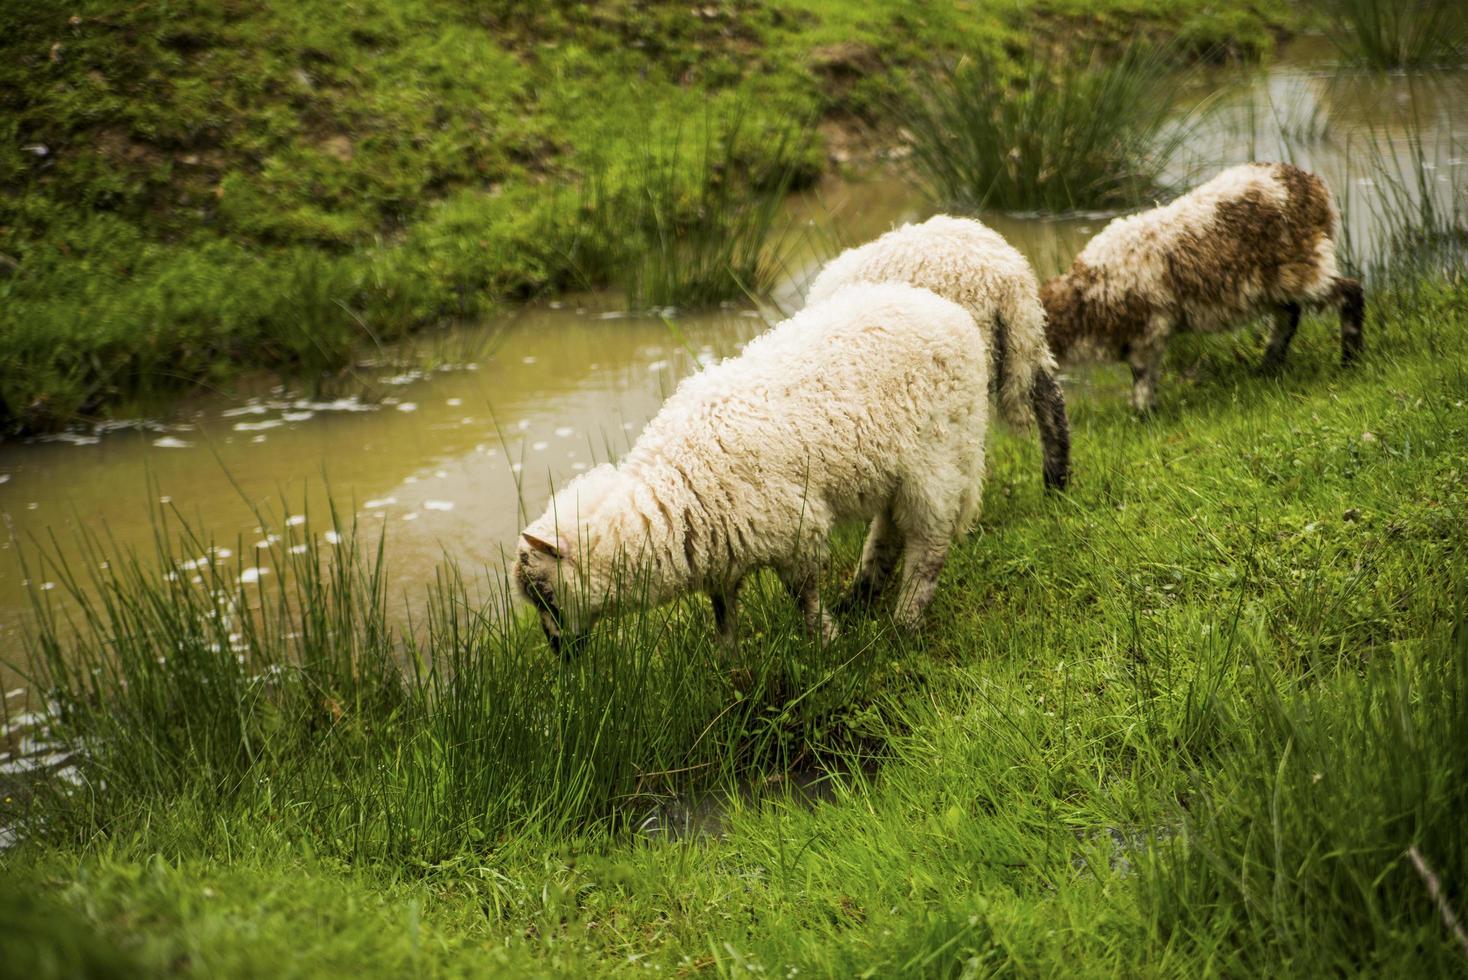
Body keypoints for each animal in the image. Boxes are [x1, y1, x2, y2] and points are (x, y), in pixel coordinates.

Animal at [513, 278, 986, 654]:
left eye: (545, 595)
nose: (559, 652)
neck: (674, 490)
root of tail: (948, 311)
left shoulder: (796, 528)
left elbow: (804, 597)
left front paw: (824, 645)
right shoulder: (721, 547)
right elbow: (723, 611)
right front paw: (729, 662)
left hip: (938, 455)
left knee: (929, 544)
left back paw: (905, 621)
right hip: (896, 469)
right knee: (888, 527)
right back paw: (863, 593)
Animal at [1045, 163, 1362, 410]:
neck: (1086, 295)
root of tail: (1313, 186)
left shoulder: (1149, 330)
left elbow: (1142, 376)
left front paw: (1143, 415)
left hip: (1304, 262)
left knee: (1350, 292)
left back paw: (1350, 360)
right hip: (1278, 280)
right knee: (1289, 315)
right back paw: (1267, 368)